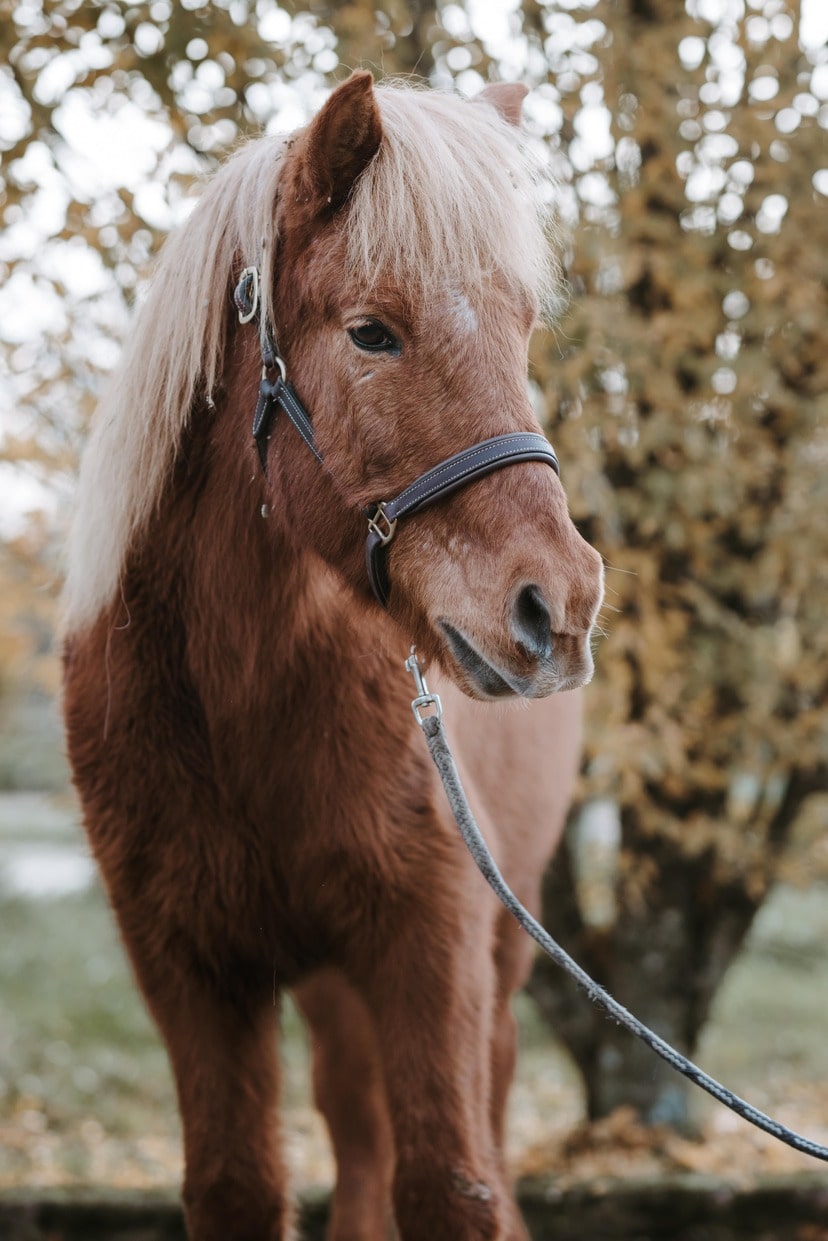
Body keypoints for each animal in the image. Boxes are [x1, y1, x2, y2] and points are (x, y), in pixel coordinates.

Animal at [61, 72, 604, 1241]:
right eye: (371, 333)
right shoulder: (189, 969)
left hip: (503, 949)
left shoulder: (433, 945)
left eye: (524, 330)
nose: (560, 603)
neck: (234, 704)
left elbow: (454, 1182)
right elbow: (241, 1184)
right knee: (357, 1142)